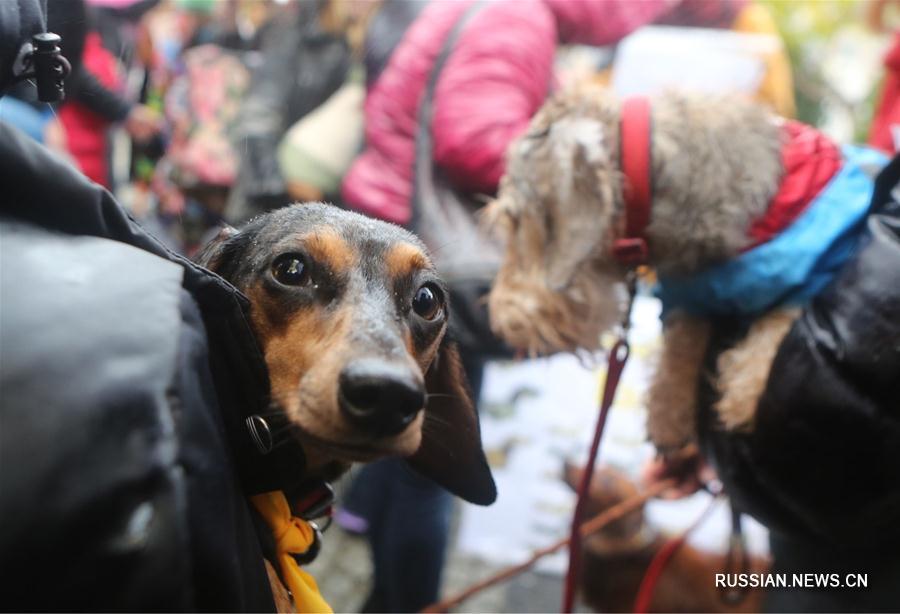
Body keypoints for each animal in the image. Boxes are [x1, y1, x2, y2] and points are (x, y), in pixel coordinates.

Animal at [486, 86, 800, 454]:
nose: (501, 322)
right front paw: (668, 415)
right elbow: (681, 342)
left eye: (515, 220)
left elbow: (784, 312)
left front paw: (744, 396)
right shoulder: (693, 286)